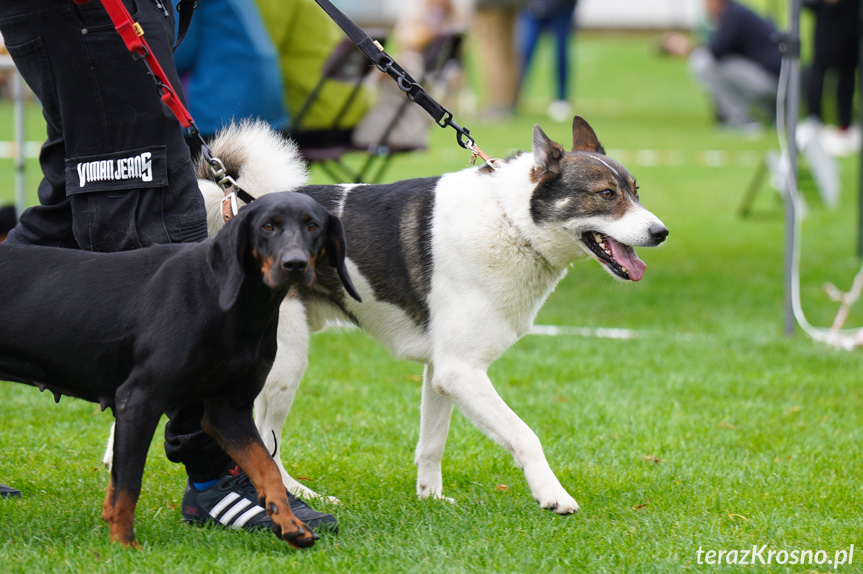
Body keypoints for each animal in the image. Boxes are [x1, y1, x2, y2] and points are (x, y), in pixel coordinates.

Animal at [0, 192, 360, 548]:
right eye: (268, 226)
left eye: (313, 226)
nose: (295, 264)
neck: (229, 302)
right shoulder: (139, 400)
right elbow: (127, 484)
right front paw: (124, 545)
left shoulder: (228, 411)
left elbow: (266, 467)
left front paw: (289, 524)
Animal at [106, 116, 668, 512]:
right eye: (606, 195)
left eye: (635, 191)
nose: (660, 232)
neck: (511, 221)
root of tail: (233, 211)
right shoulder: (462, 372)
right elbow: (525, 435)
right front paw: (553, 496)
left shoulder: (443, 373)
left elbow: (432, 444)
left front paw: (431, 499)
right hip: (281, 360)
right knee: (251, 432)